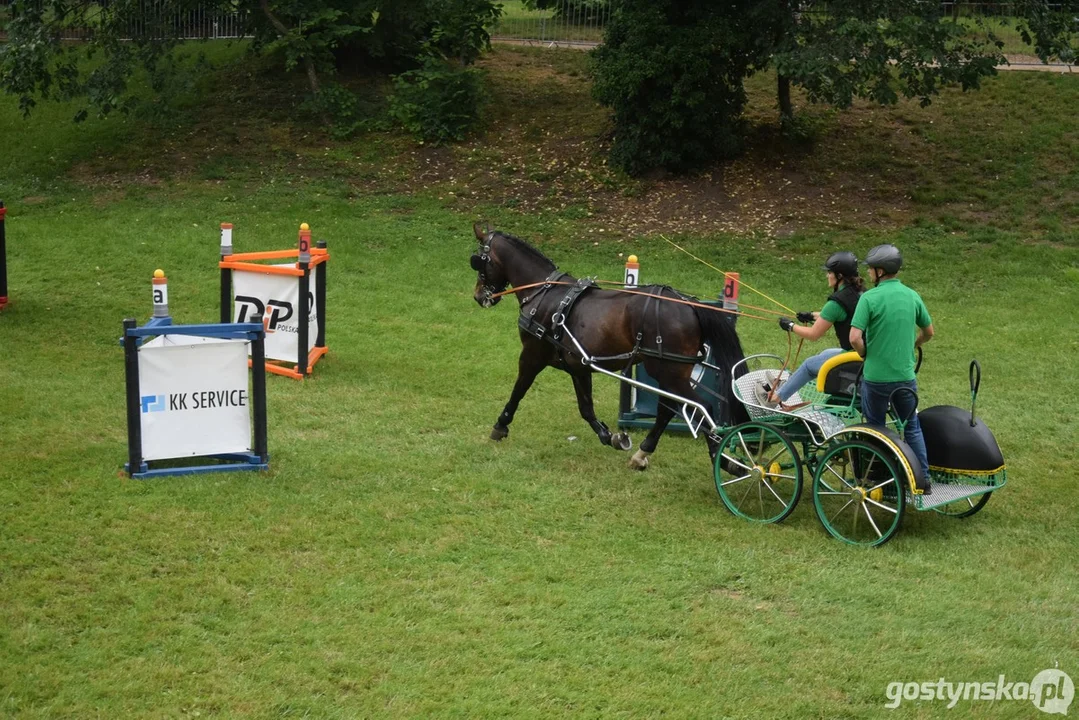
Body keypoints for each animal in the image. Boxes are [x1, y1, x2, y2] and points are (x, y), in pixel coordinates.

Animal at [472, 226, 750, 472]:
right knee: (667, 410)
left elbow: (518, 390)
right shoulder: (578, 366)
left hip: (668, 371)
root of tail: (690, 304)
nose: (478, 296)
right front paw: (611, 437)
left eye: (477, 261)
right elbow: (586, 408)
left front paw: (500, 426)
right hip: (672, 371)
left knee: (703, 409)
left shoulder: (532, 355)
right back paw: (642, 454)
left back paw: (724, 460)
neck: (544, 291)